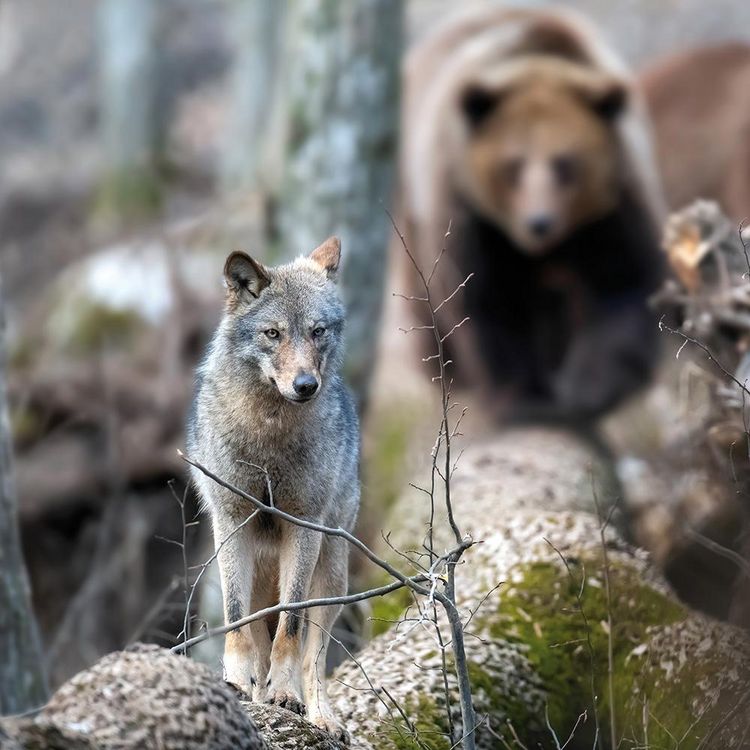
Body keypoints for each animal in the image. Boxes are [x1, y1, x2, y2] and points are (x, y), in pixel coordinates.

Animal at [186, 237, 359, 742]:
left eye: (317, 331)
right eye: (273, 333)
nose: (305, 385)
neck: (269, 431)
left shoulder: (303, 524)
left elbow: (292, 626)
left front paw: (284, 695)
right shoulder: (231, 520)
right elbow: (236, 618)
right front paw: (235, 681)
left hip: (332, 577)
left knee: (312, 655)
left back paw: (319, 715)